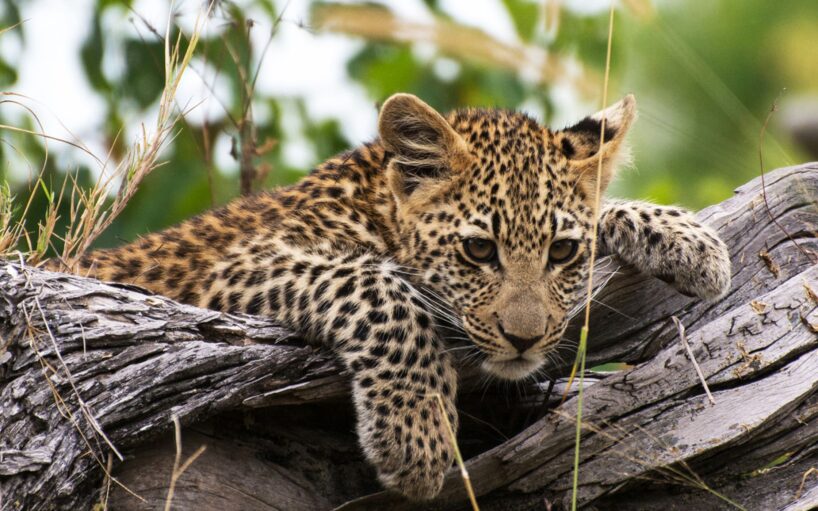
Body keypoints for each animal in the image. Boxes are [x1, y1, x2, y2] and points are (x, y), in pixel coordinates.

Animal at [50, 93, 731, 500]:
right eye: (478, 251)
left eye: (563, 253)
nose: (526, 338)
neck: (379, 206)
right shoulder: (241, 265)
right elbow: (376, 286)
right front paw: (416, 438)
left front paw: (692, 240)